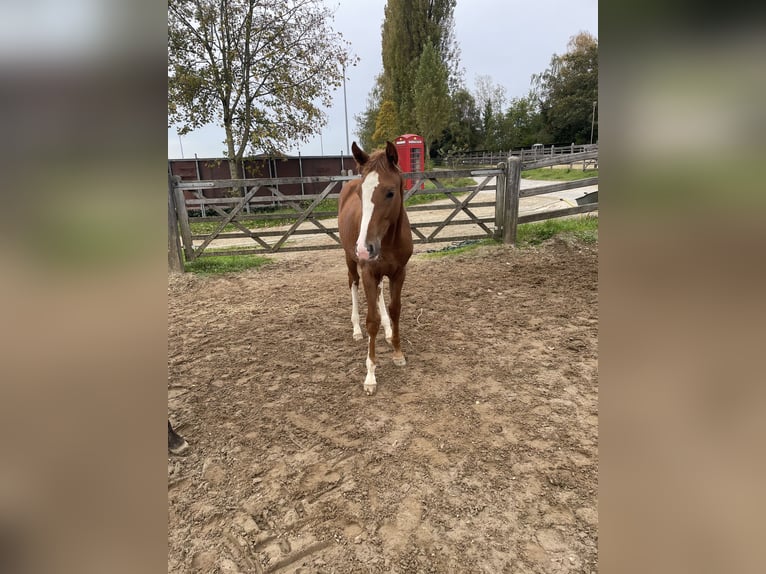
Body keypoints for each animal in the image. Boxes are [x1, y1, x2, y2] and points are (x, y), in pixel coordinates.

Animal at [340, 142, 414, 398]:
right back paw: (355, 329)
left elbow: (395, 310)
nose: (364, 248)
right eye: (360, 194)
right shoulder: (368, 272)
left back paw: (388, 331)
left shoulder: (399, 272)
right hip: (351, 261)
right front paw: (370, 376)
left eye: (390, 192)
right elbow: (371, 320)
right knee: (352, 283)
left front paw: (398, 352)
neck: (388, 240)